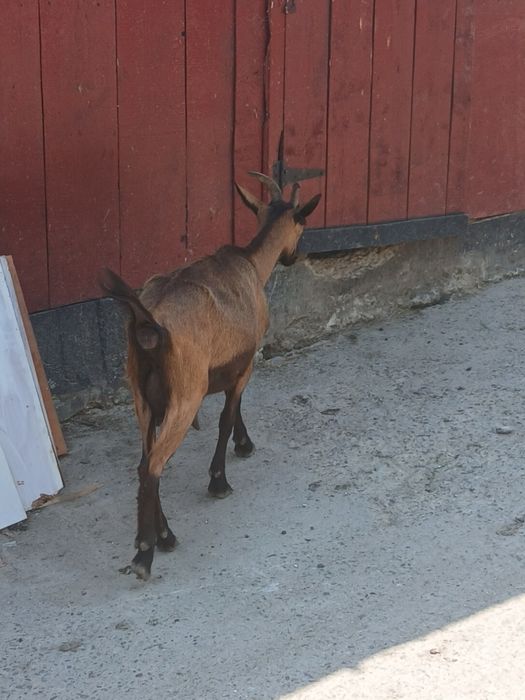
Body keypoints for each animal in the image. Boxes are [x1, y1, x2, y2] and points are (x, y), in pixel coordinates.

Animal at [99, 172, 321, 580]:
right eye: (303, 223)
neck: (251, 263)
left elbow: (235, 409)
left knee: (143, 462)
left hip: (141, 395)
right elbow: (227, 415)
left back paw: (163, 535)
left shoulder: (232, 364)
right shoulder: (248, 361)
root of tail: (148, 323)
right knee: (154, 465)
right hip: (186, 393)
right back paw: (146, 553)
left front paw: (244, 444)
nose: (293, 256)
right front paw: (219, 479)